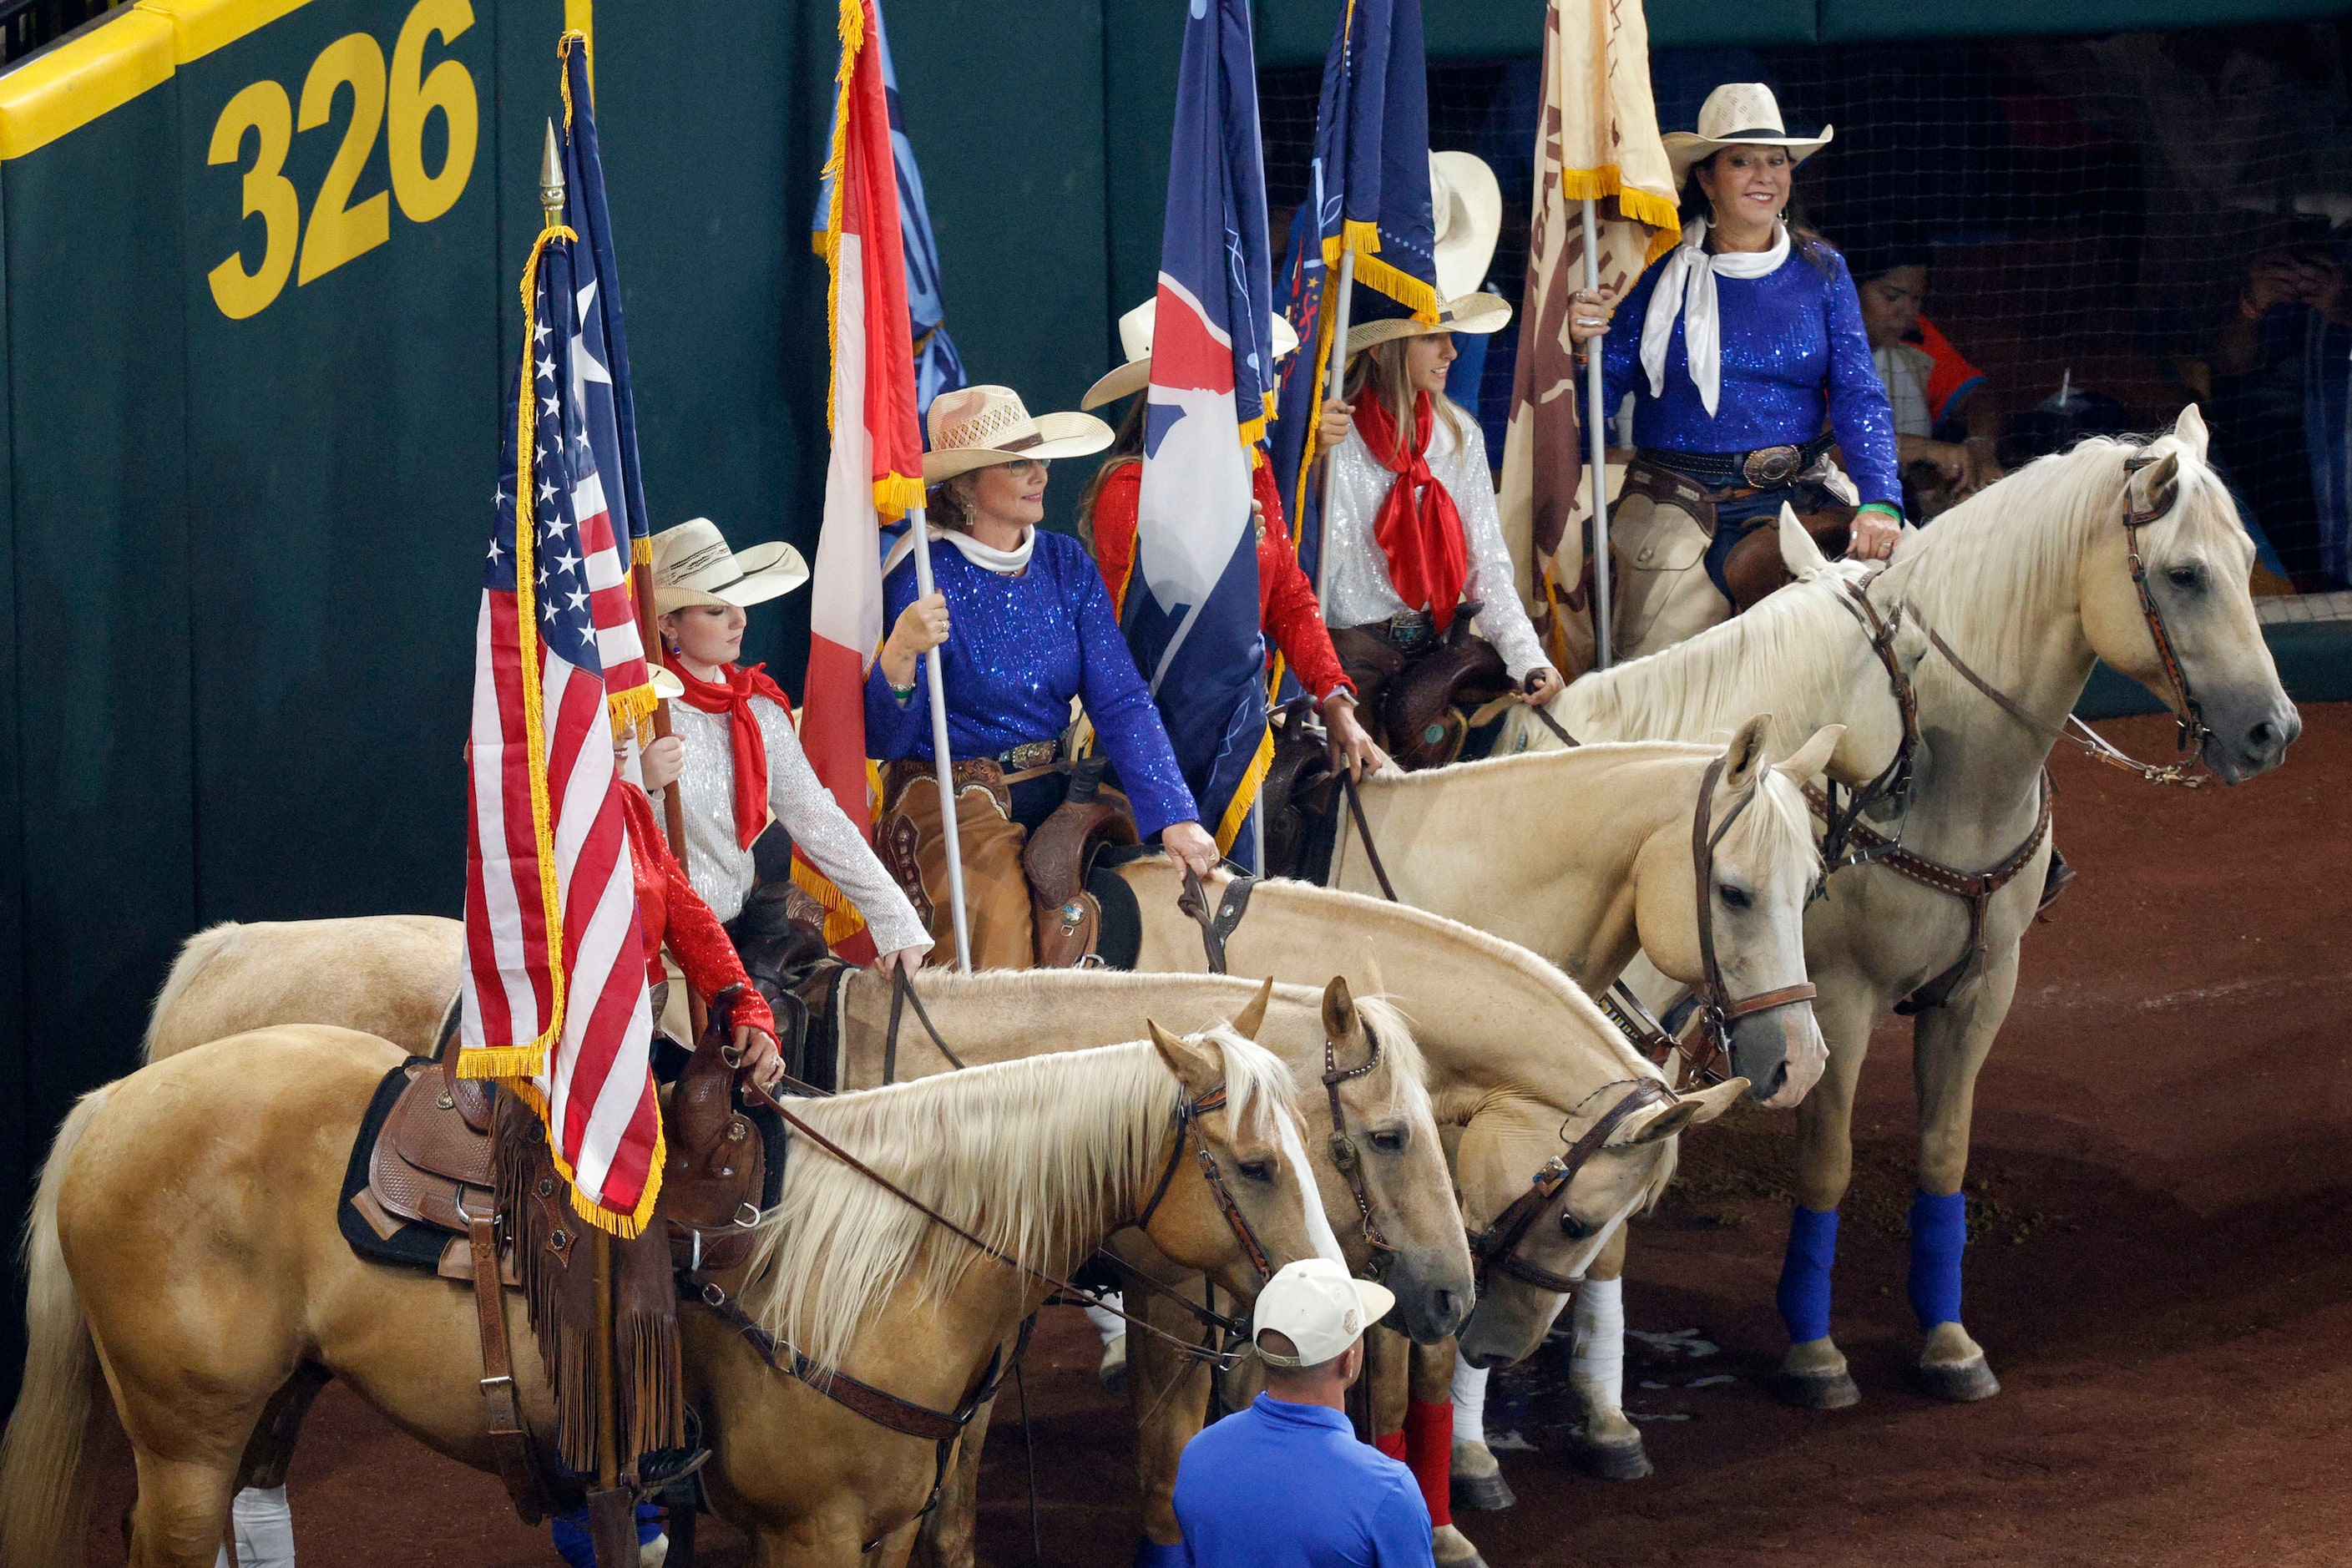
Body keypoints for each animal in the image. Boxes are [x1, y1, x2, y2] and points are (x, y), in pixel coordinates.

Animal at [0, 1019, 1336, 1568]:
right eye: (1254, 1165)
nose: (1334, 1302)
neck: (892, 1264)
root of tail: (108, 1104)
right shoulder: (811, 1534)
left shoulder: (896, 1526)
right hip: (185, 1433)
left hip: (273, 1403)